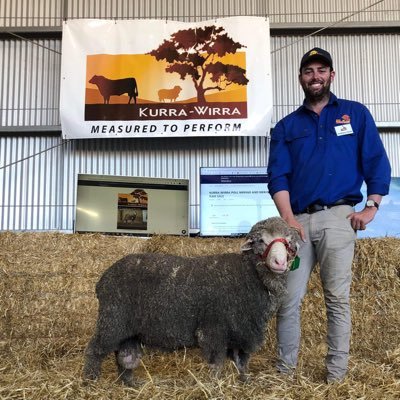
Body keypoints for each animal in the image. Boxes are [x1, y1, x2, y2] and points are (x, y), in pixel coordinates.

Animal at [83, 217, 300, 386]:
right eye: (261, 240)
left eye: (288, 242)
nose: (280, 262)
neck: (249, 274)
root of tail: (103, 280)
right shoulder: (214, 330)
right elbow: (217, 364)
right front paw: (216, 386)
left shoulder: (244, 332)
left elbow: (242, 363)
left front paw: (244, 383)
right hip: (112, 320)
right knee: (95, 350)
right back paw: (90, 382)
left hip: (129, 331)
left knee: (125, 357)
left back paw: (130, 384)